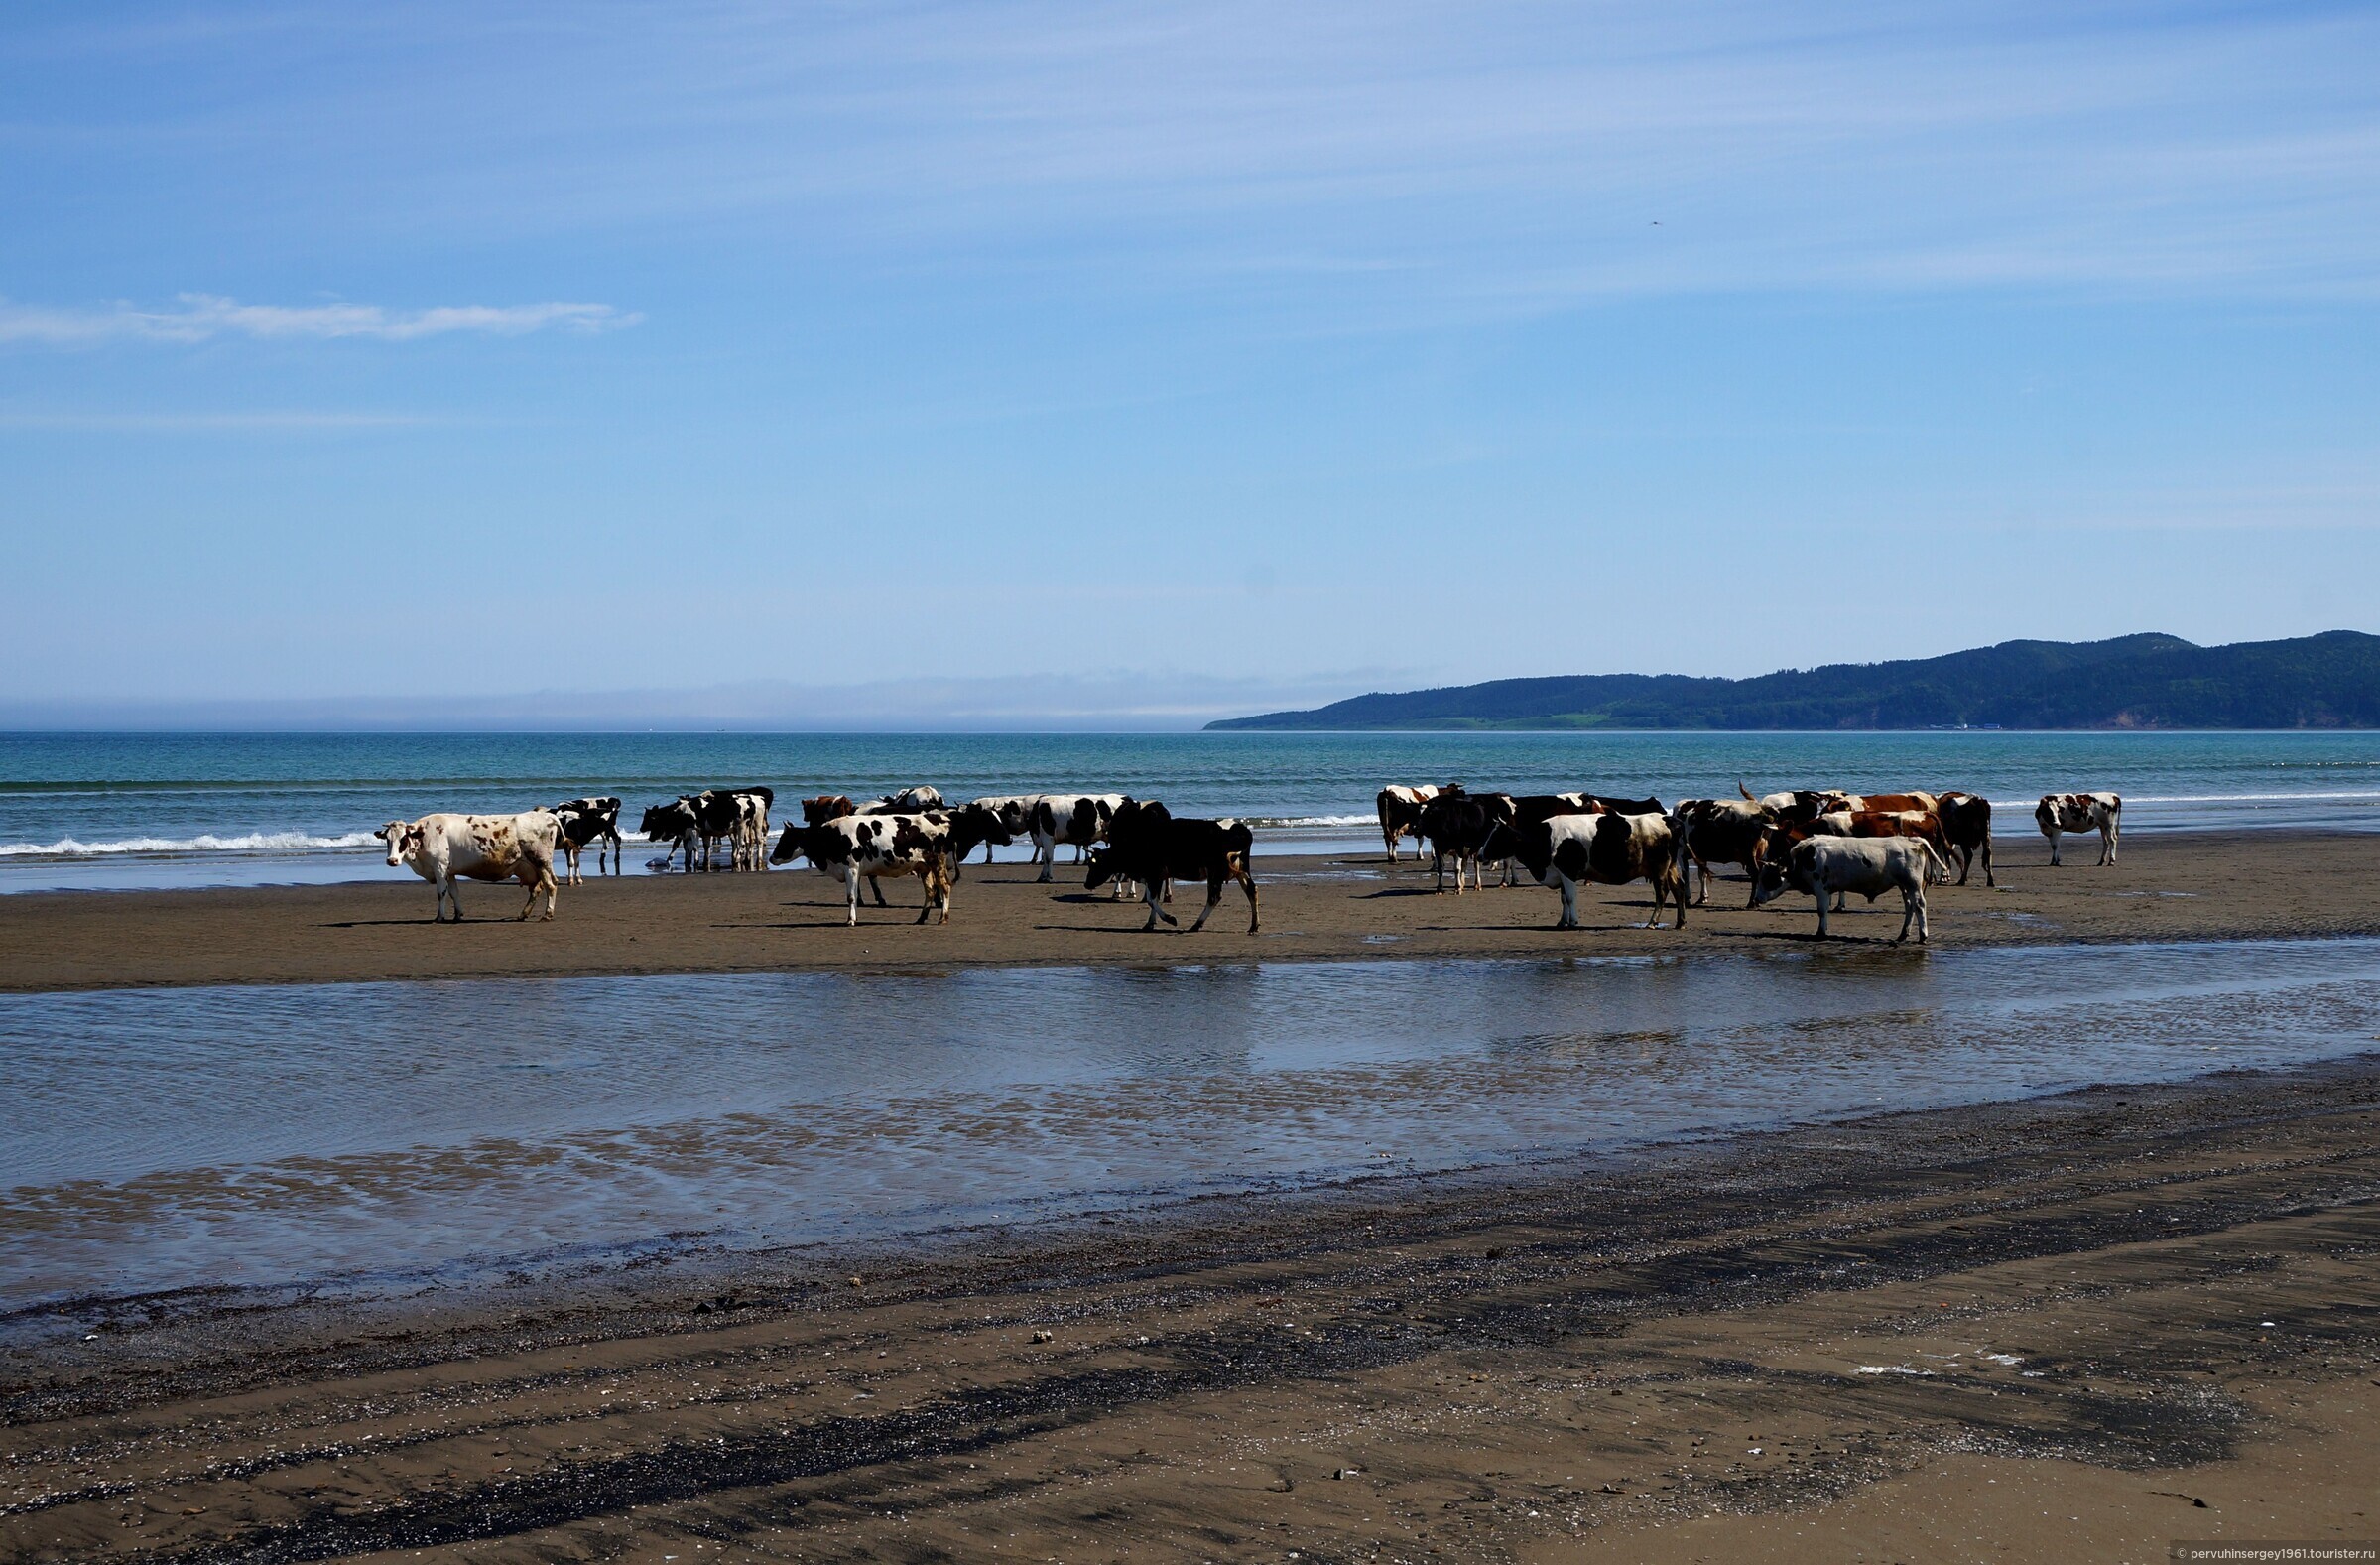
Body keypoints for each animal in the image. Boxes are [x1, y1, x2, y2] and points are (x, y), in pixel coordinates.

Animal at [376, 810, 562, 919]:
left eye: (403, 839)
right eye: (387, 839)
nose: (392, 861)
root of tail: (546, 815)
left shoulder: (439, 867)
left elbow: (441, 893)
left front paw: (439, 917)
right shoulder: (449, 871)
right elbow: (454, 893)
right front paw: (458, 914)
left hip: (541, 862)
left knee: (551, 885)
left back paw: (547, 914)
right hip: (532, 866)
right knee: (537, 889)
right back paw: (523, 914)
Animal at [1084, 800, 1256, 933]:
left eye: (1094, 865)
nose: (1086, 884)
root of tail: (1239, 828)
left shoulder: (1153, 874)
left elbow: (1151, 899)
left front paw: (1170, 919)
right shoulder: (1155, 876)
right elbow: (1153, 898)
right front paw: (1150, 923)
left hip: (1215, 872)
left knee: (1214, 897)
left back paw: (1197, 924)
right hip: (1242, 871)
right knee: (1251, 890)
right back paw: (1254, 926)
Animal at [1475, 805, 1685, 929]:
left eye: (1496, 836)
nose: (1478, 855)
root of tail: (1669, 819)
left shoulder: (1567, 870)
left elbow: (1569, 897)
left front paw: (1573, 922)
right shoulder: (1560, 874)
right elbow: (1562, 899)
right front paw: (1562, 921)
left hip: (1659, 868)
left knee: (1662, 893)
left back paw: (1652, 922)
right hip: (1671, 867)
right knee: (1679, 888)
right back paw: (1680, 922)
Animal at [1761, 829, 1942, 938]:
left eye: (1769, 878)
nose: (1757, 899)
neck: (1804, 857)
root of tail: (1911, 840)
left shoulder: (1821, 888)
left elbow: (1822, 911)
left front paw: (1820, 933)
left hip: (1912, 884)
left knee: (1919, 905)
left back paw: (1923, 936)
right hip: (1904, 887)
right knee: (1910, 906)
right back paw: (1903, 934)